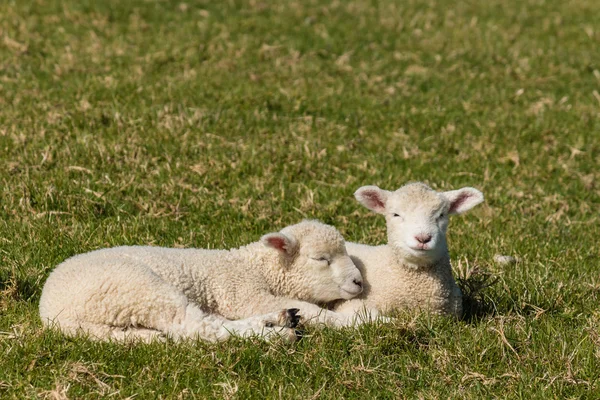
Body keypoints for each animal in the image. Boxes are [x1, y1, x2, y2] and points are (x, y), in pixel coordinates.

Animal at [39, 220, 366, 342]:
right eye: (321, 259)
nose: (359, 282)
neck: (253, 267)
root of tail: (52, 313)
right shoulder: (243, 294)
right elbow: (313, 310)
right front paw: (361, 321)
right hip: (137, 288)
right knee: (197, 327)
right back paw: (277, 329)